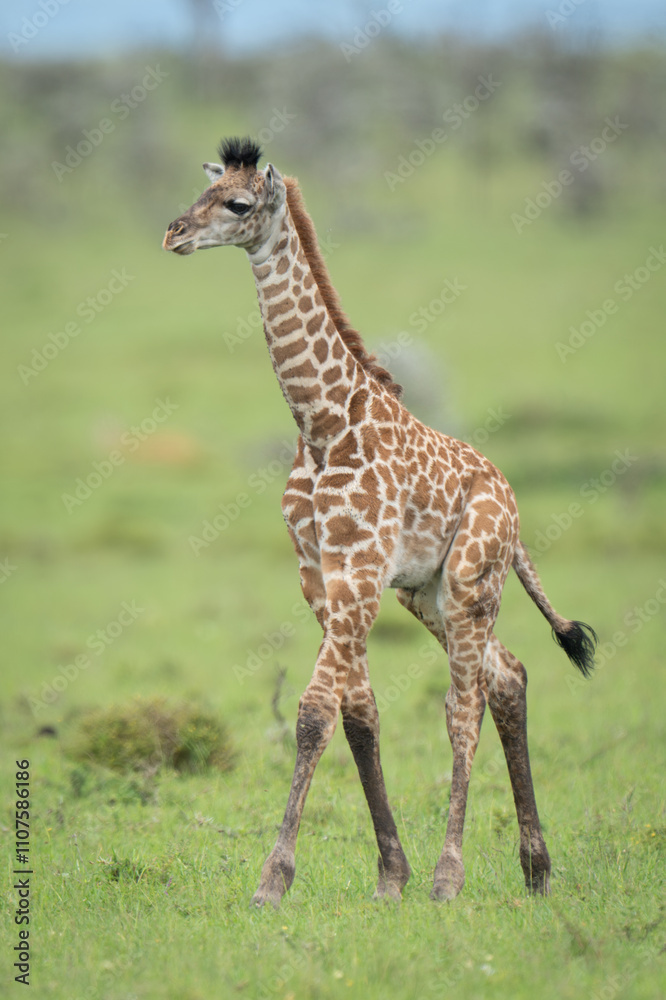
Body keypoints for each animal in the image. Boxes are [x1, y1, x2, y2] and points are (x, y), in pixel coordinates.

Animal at [163, 136, 596, 908]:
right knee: (508, 675)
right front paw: (389, 874)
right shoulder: (322, 573)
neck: (321, 422)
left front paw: (273, 879)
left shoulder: (358, 568)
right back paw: (537, 868)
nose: (174, 234)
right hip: (427, 594)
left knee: (463, 706)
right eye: (201, 193)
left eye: (237, 204)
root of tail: (514, 511)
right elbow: (358, 715)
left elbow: (313, 711)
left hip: (471, 584)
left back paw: (451, 876)